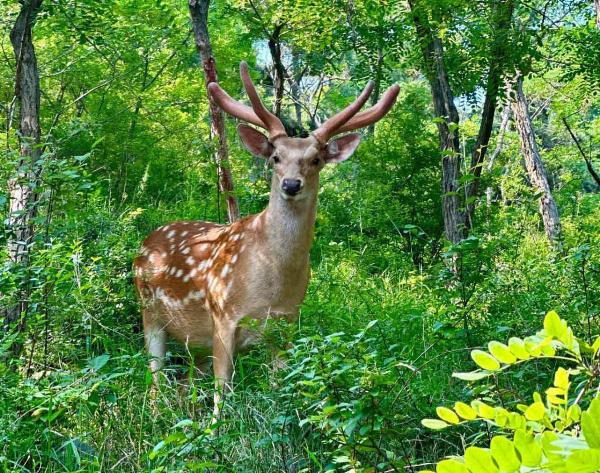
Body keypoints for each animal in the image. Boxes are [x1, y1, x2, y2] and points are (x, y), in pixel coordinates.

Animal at [135, 60, 398, 412]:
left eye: (315, 159)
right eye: (276, 157)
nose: (291, 184)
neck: (271, 284)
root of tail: (146, 241)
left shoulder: (286, 325)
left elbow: (278, 391)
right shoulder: (223, 316)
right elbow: (223, 393)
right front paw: (217, 427)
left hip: (193, 343)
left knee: (183, 382)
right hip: (148, 309)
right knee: (155, 379)